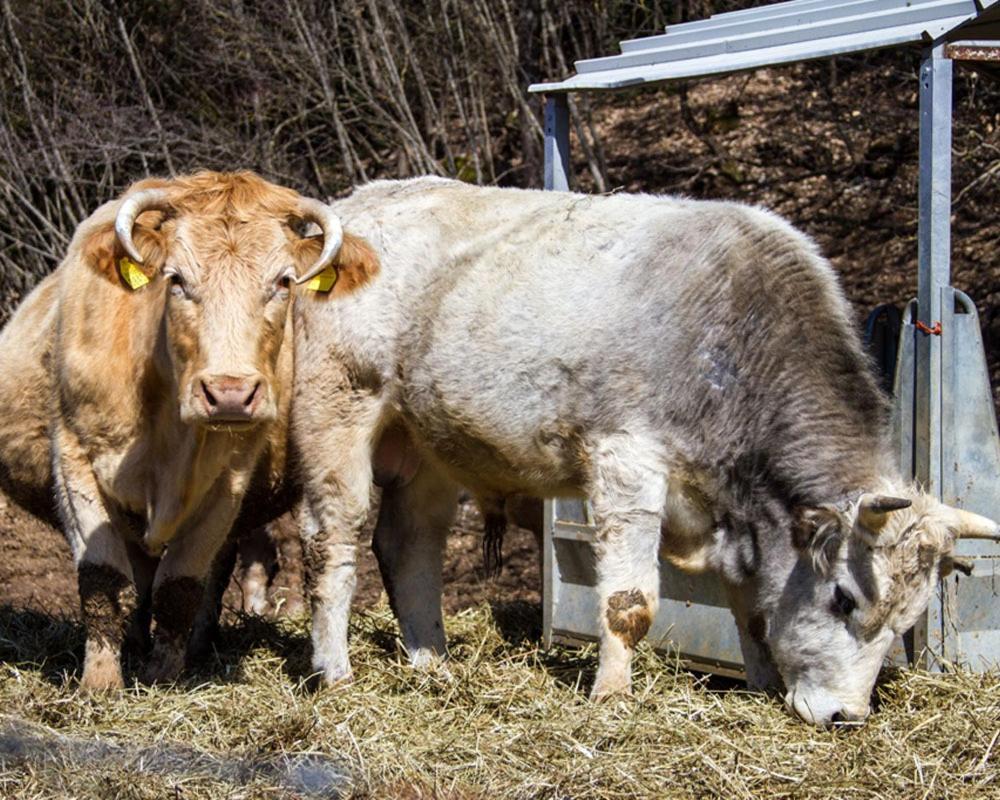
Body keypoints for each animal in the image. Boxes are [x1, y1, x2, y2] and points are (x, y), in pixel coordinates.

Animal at [0, 172, 360, 692]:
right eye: (176, 280)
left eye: (282, 282)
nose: (229, 393)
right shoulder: (75, 458)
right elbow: (102, 579)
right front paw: (101, 683)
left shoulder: (229, 479)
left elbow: (181, 586)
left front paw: (165, 675)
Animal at [288, 180, 992, 724]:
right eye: (844, 598)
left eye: (907, 623)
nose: (847, 716)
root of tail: (359, 203)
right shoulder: (626, 464)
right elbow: (630, 604)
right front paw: (612, 697)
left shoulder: (729, 510)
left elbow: (752, 607)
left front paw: (762, 683)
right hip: (337, 412)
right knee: (334, 540)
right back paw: (335, 671)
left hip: (430, 446)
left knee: (410, 543)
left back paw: (433, 662)